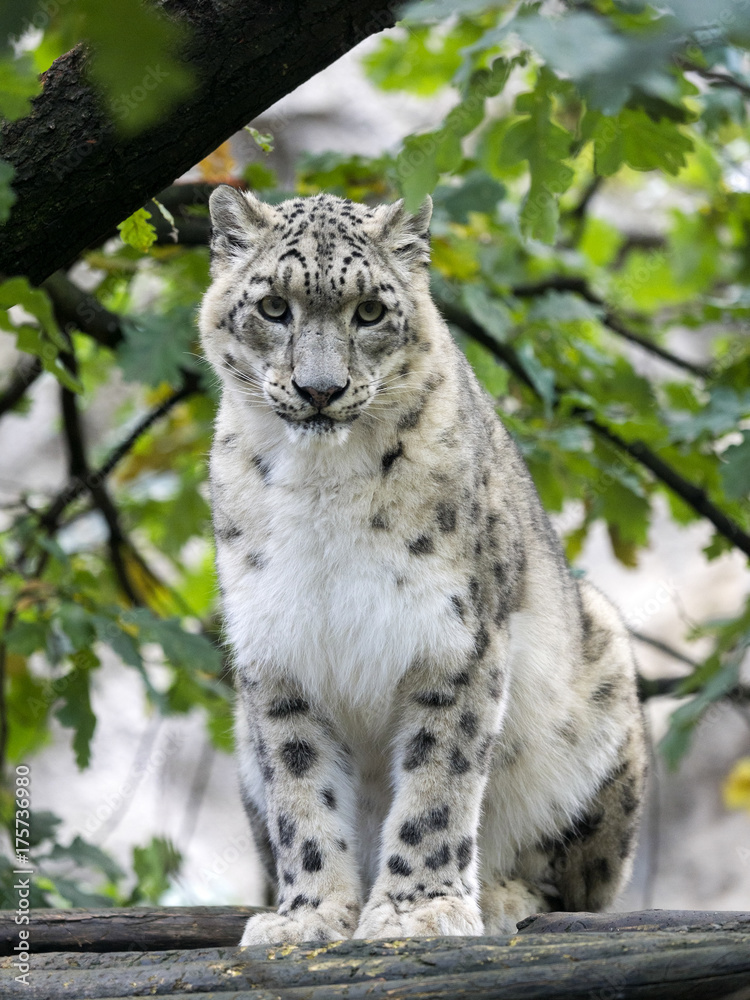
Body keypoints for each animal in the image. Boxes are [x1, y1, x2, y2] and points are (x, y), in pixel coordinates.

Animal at [198, 186, 647, 945]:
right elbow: (300, 788)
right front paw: (308, 916)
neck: (322, 485)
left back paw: (500, 894)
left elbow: (440, 777)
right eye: (274, 306)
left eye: (370, 312)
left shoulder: (455, 640)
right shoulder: (277, 651)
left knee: (578, 884)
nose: (320, 390)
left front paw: (417, 910)